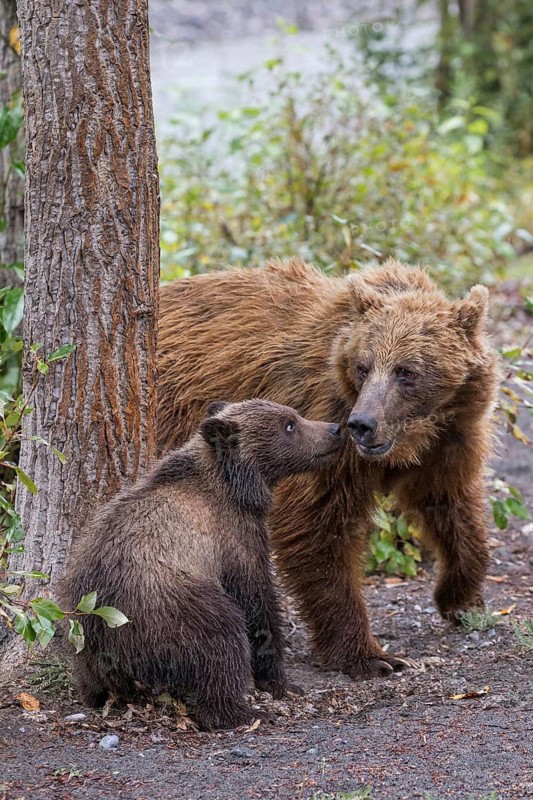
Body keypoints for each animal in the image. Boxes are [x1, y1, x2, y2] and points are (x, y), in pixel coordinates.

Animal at [60, 399, 343, 729]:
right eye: (289, 424)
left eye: (293, 416)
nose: (336, 429)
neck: (233, 486)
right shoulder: (234, 539)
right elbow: (258, 604)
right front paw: (280, 683)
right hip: (172, 611)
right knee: (221, 640)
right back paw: (241, 711)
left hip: (82, 624)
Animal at [157, 257, 500, 680]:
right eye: (364, 366)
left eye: (407, 371)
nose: (362, 424)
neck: (416, 434)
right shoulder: (323, 422)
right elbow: (318, 525)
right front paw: (371, 655)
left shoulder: (451, 439)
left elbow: (451, 504)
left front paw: (460, 597)